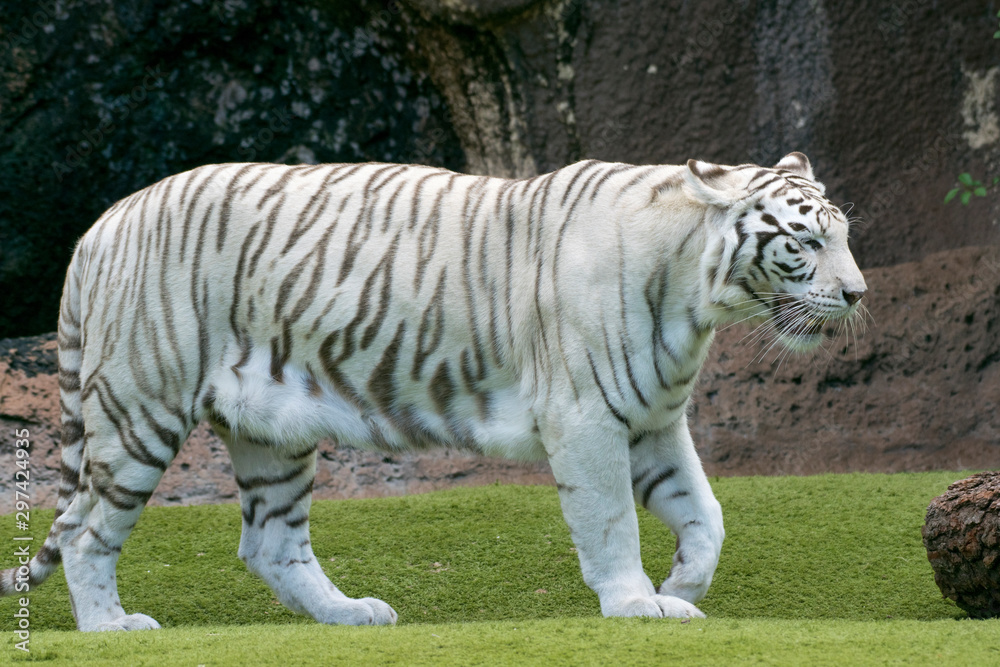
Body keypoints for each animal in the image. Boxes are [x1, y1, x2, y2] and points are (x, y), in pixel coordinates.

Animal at [0, 152, 866, 630]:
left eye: (845, 236)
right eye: (804, 241)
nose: (858, 293)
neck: (699, 296)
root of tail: (100, 226)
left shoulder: (652, 419)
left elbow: (707, 512)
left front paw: (683, 585)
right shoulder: (587, 418)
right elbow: (612, 520)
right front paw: (636, 602)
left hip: (272, 430)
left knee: (270, 542)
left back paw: (350, 613)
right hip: (139, 411)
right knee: (89, 532)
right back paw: (112, 625)